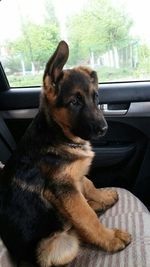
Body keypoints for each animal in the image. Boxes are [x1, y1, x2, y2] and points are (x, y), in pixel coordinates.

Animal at [0, 40, 131, 266]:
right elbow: (86, 217)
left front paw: (103, 196)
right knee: (75, 231)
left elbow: (88, 183)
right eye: (74, 102)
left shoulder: (73, 178)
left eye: (96, 97)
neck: (57, 133)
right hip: (61, 245)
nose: (104, 129)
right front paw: (110, 237)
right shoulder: (62, 188)